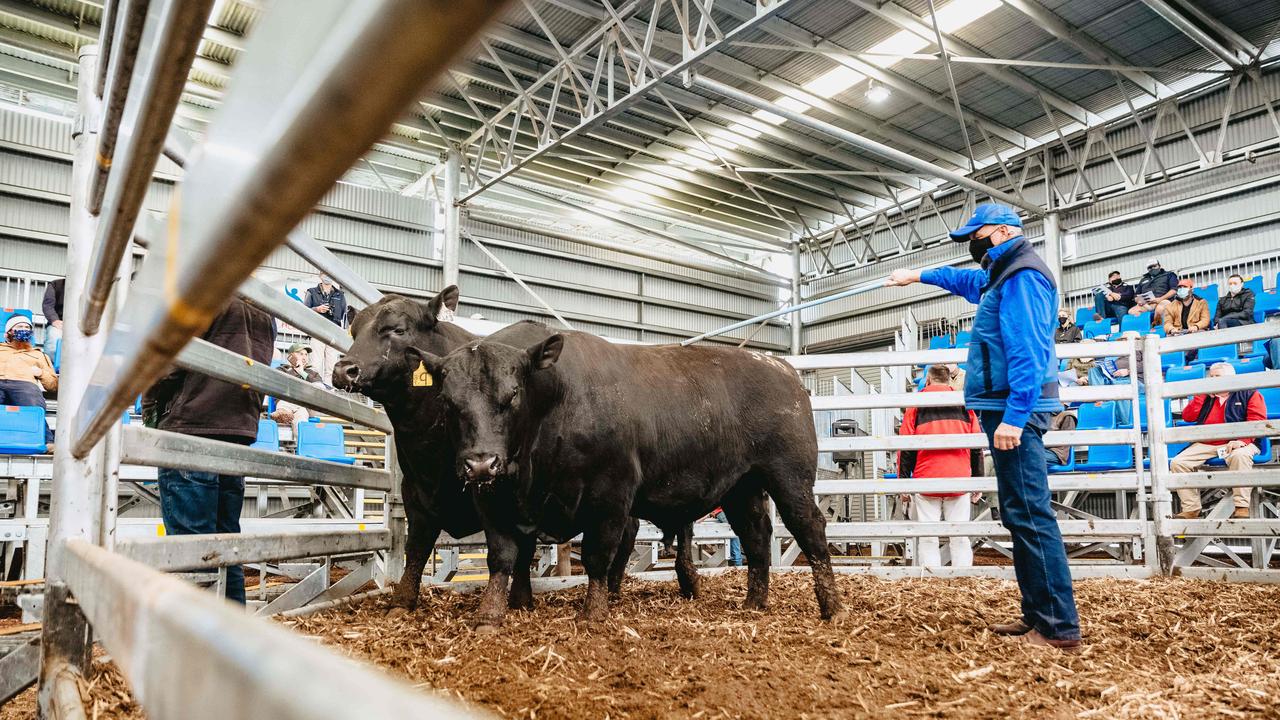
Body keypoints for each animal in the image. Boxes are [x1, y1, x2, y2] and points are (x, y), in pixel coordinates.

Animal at [335, 285, 645, 609]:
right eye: (355, 331)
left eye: (397, 329)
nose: (344, 369)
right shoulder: (415, 490)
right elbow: (417, 547)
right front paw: (402, 600)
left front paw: (519, 598)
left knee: (626, 532)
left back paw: (612, 587)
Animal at [414, 316, 844, 625]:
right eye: (448, 400)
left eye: (513, 394)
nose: (481, 462)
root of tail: (778, 366)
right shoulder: (493, 499)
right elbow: (501, 557)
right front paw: (489, 616)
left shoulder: (610, 496)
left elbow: (597, 557)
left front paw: (593, 613)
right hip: (742, 486)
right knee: (756, 536)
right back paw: (754, 604)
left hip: (789, 475)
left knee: (809, 529)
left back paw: (833, 608)